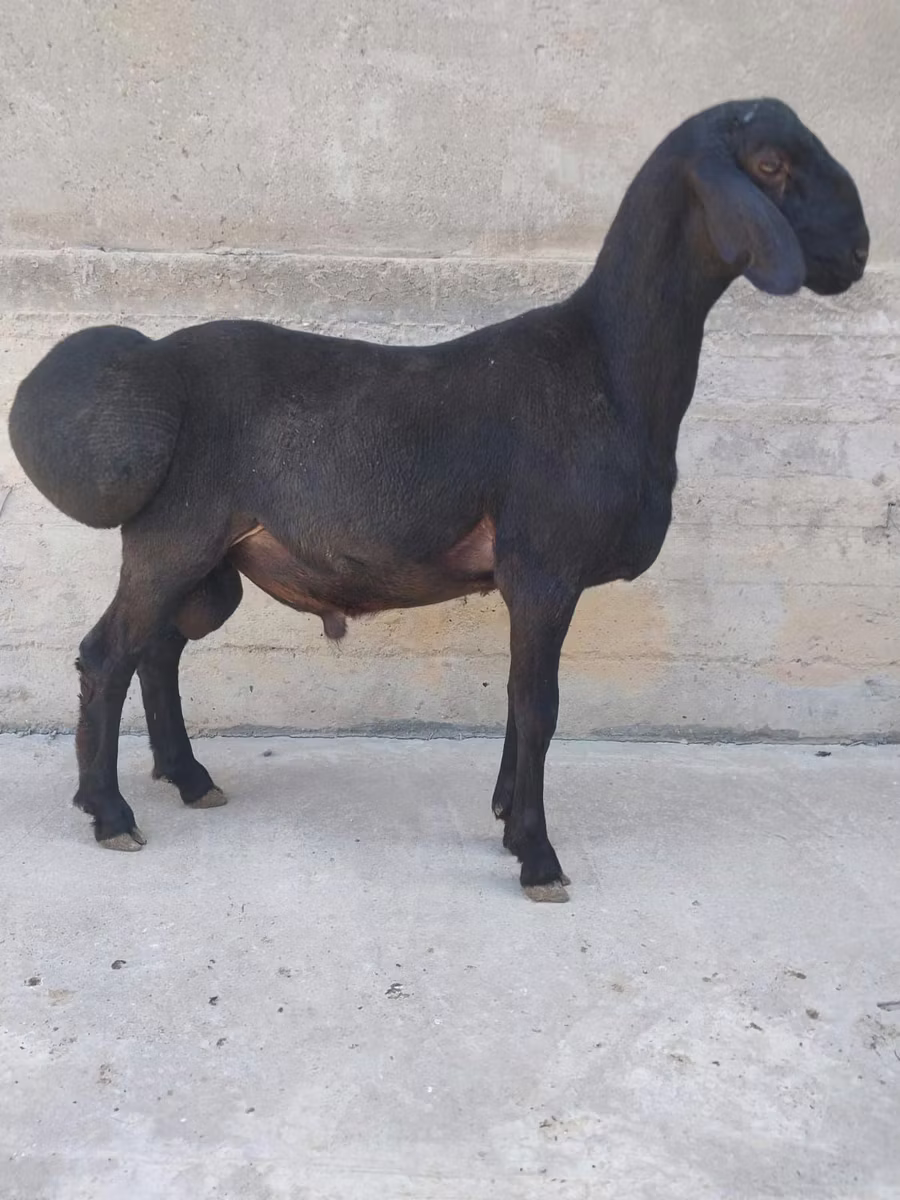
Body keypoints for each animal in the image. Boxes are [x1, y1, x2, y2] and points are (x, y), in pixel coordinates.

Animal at [8, 98, 869, 901]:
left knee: (158, 650)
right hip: (175, 538)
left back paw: (189, 778)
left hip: (208, 562)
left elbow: (520, 705)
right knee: (108, 654)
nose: (860, 251)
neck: (604, 366)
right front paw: (538, 857)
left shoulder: (526, 581)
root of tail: (149, 366)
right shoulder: (543, 567)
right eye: (768, 165)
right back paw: (109, 813)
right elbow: (538, 705)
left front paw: (505, 817)